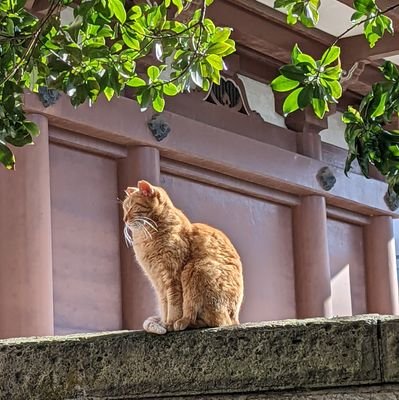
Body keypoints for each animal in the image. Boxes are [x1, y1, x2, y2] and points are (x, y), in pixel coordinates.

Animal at [122, 180, 244, 332]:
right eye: (124, 209)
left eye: (132, 207)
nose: (124, 219)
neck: (146, 239)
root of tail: (236, 319)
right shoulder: (158, 282)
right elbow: (164, 305)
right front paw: (164, 322)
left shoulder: (172, 276)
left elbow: (174, 303)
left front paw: (170, 323)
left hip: (194, 269)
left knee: (216, 320)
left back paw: (184, 322)